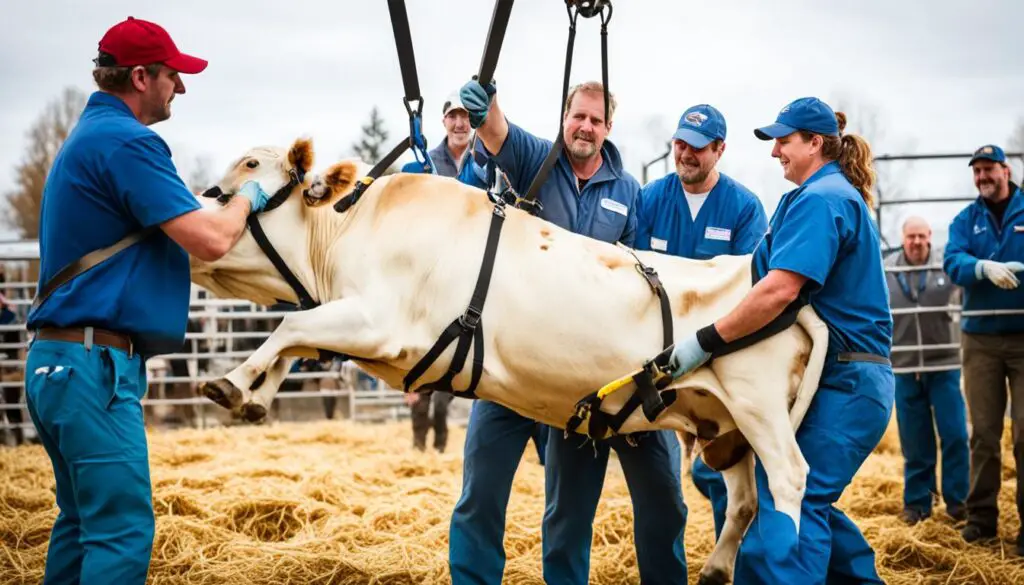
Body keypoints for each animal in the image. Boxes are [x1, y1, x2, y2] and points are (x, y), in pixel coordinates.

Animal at [190, 138, 831, 585]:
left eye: (250, 165)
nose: (195, 207)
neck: (349, 233)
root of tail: (764, 269)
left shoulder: (379, 321)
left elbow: (291, 326)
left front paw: (229, 382)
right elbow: (295, 341)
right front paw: (255, 393)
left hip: (759, 408)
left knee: (790, 480)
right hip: (725, 426)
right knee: (744, 500)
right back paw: (718, 568)